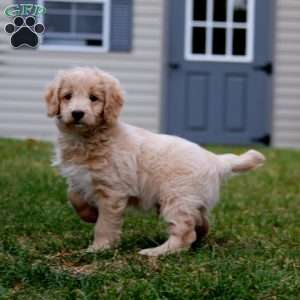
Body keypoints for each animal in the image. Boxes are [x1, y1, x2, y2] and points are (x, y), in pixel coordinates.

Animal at [44, 67, 264, 255]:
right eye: (67, 96)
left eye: (94, 98)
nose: (77, 113)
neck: (86, 139)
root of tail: (215, 159)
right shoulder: (78, 177)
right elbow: (74, 197)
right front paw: (89, 215)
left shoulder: (112, 191)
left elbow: (105, 224)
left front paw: (99, 248)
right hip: (192, 199)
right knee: (201, 223)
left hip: (177, 198)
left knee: (184, 234)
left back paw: (156, 252)